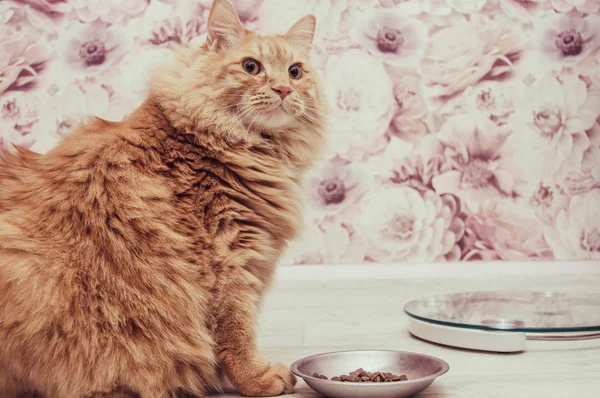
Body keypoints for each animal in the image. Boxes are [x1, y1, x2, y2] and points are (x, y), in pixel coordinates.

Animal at [0, 1, 328, 396]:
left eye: (295, 72)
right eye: (252, 67)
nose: (282, 89)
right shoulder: (230, 257)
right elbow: (237, 333)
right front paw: (258, 378)